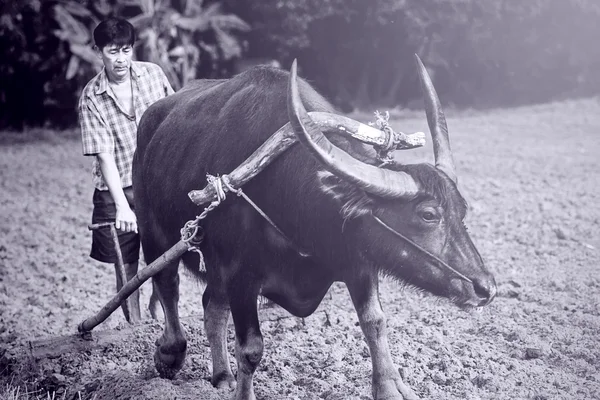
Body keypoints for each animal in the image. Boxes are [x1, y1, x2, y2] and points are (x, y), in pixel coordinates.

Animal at [135, 57, 496, 400]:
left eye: (461, 210)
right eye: (428, 214)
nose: (486, 288)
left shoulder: (358, 261)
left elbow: (374, 322)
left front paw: (390, 387)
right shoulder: (240, 276)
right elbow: (251, 348)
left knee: (212, 307)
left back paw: (222, 376)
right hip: (153, 234)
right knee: (167, 286)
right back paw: (170, 353)